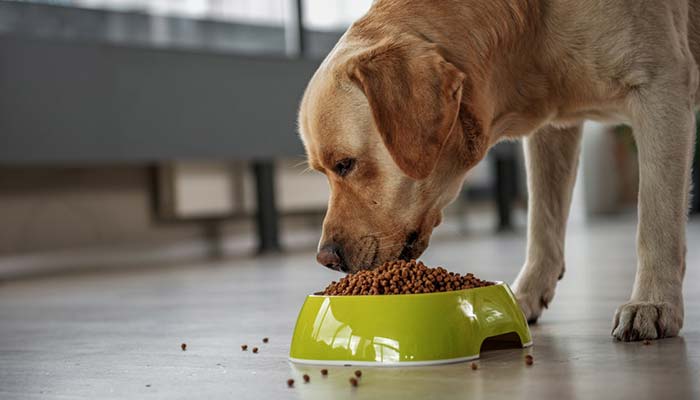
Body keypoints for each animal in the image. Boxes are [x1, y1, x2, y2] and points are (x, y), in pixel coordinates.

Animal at [298, 0, 696, 342]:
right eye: (322, 172)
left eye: (345, 164)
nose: (326, 258)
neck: (528, 28)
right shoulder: (554, 126)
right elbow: (542, 223)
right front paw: (524, 297)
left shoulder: (661, 89)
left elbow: (656, 221)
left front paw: (653, 302)